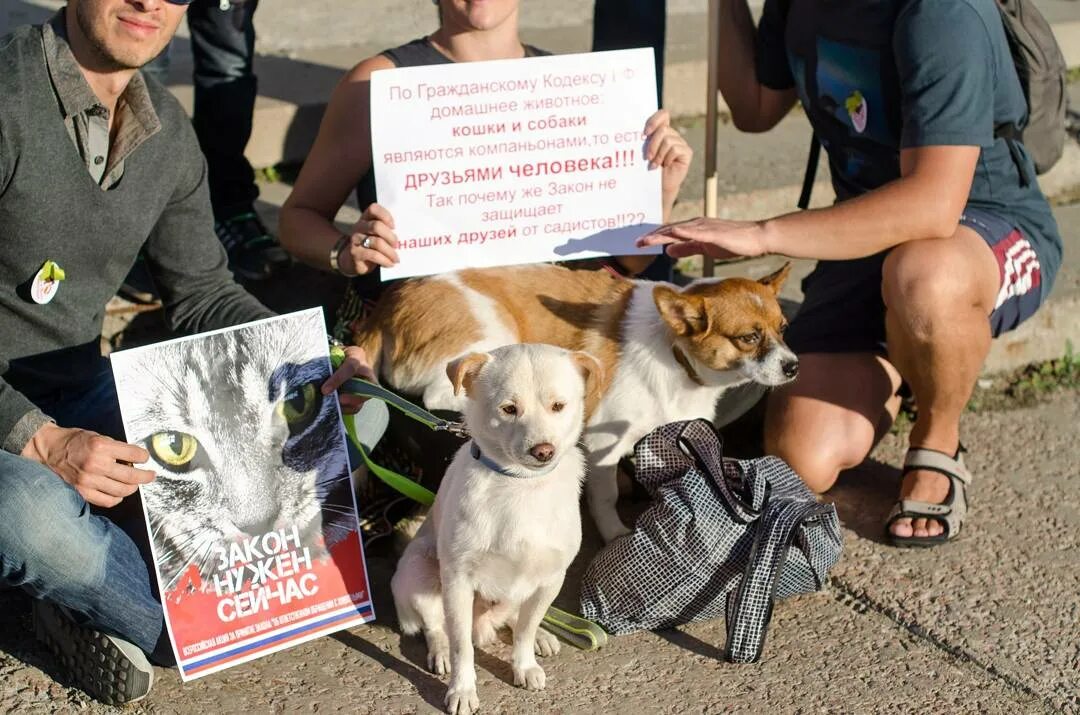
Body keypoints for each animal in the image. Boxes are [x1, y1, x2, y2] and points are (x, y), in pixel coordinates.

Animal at [352, 263, 794, 544]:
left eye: (783, 328)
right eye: (748, 338)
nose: (793, 366)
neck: (674, 351)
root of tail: (384, 309)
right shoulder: (604, 446)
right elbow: (605, 496)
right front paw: (614, 532)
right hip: (491, 342)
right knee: (444, 394)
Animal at [393, 345, 604, 712]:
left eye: (558, 406)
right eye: (509, 409)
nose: (543, 451)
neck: (521, 485)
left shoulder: (551, 580)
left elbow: (525, 630)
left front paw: (524, 664)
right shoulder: (458, 582)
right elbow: (462, 645)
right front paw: (462, 690)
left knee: (516, 619)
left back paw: (543, 637)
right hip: (419, 569)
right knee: (436, 628)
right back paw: (440, 653)